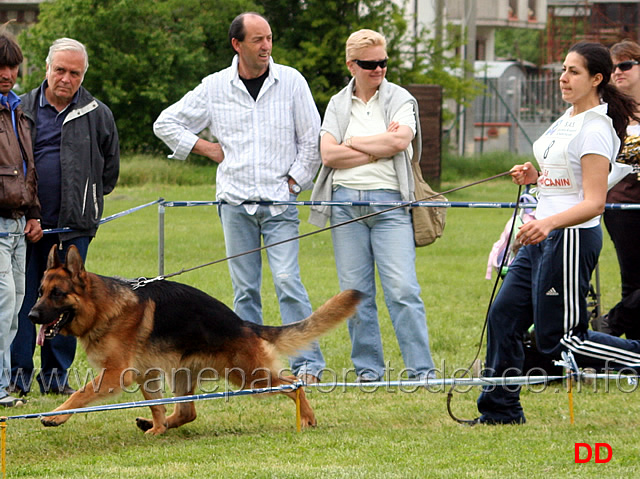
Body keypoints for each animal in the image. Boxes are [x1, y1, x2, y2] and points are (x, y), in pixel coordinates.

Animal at [30, 246, 360, 436]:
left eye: (57, 294)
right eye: (40, 292)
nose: (32, 315)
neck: (102, 306)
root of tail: (243, 324)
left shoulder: (115, 374)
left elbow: (81, 394)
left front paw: (56, 416)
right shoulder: (146, 373)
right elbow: (156, 405)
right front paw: (157, 428)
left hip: (249, 376)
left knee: (294, 382)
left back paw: (307, 418)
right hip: (183, 374)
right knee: (187, 412)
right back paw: (157, 426)